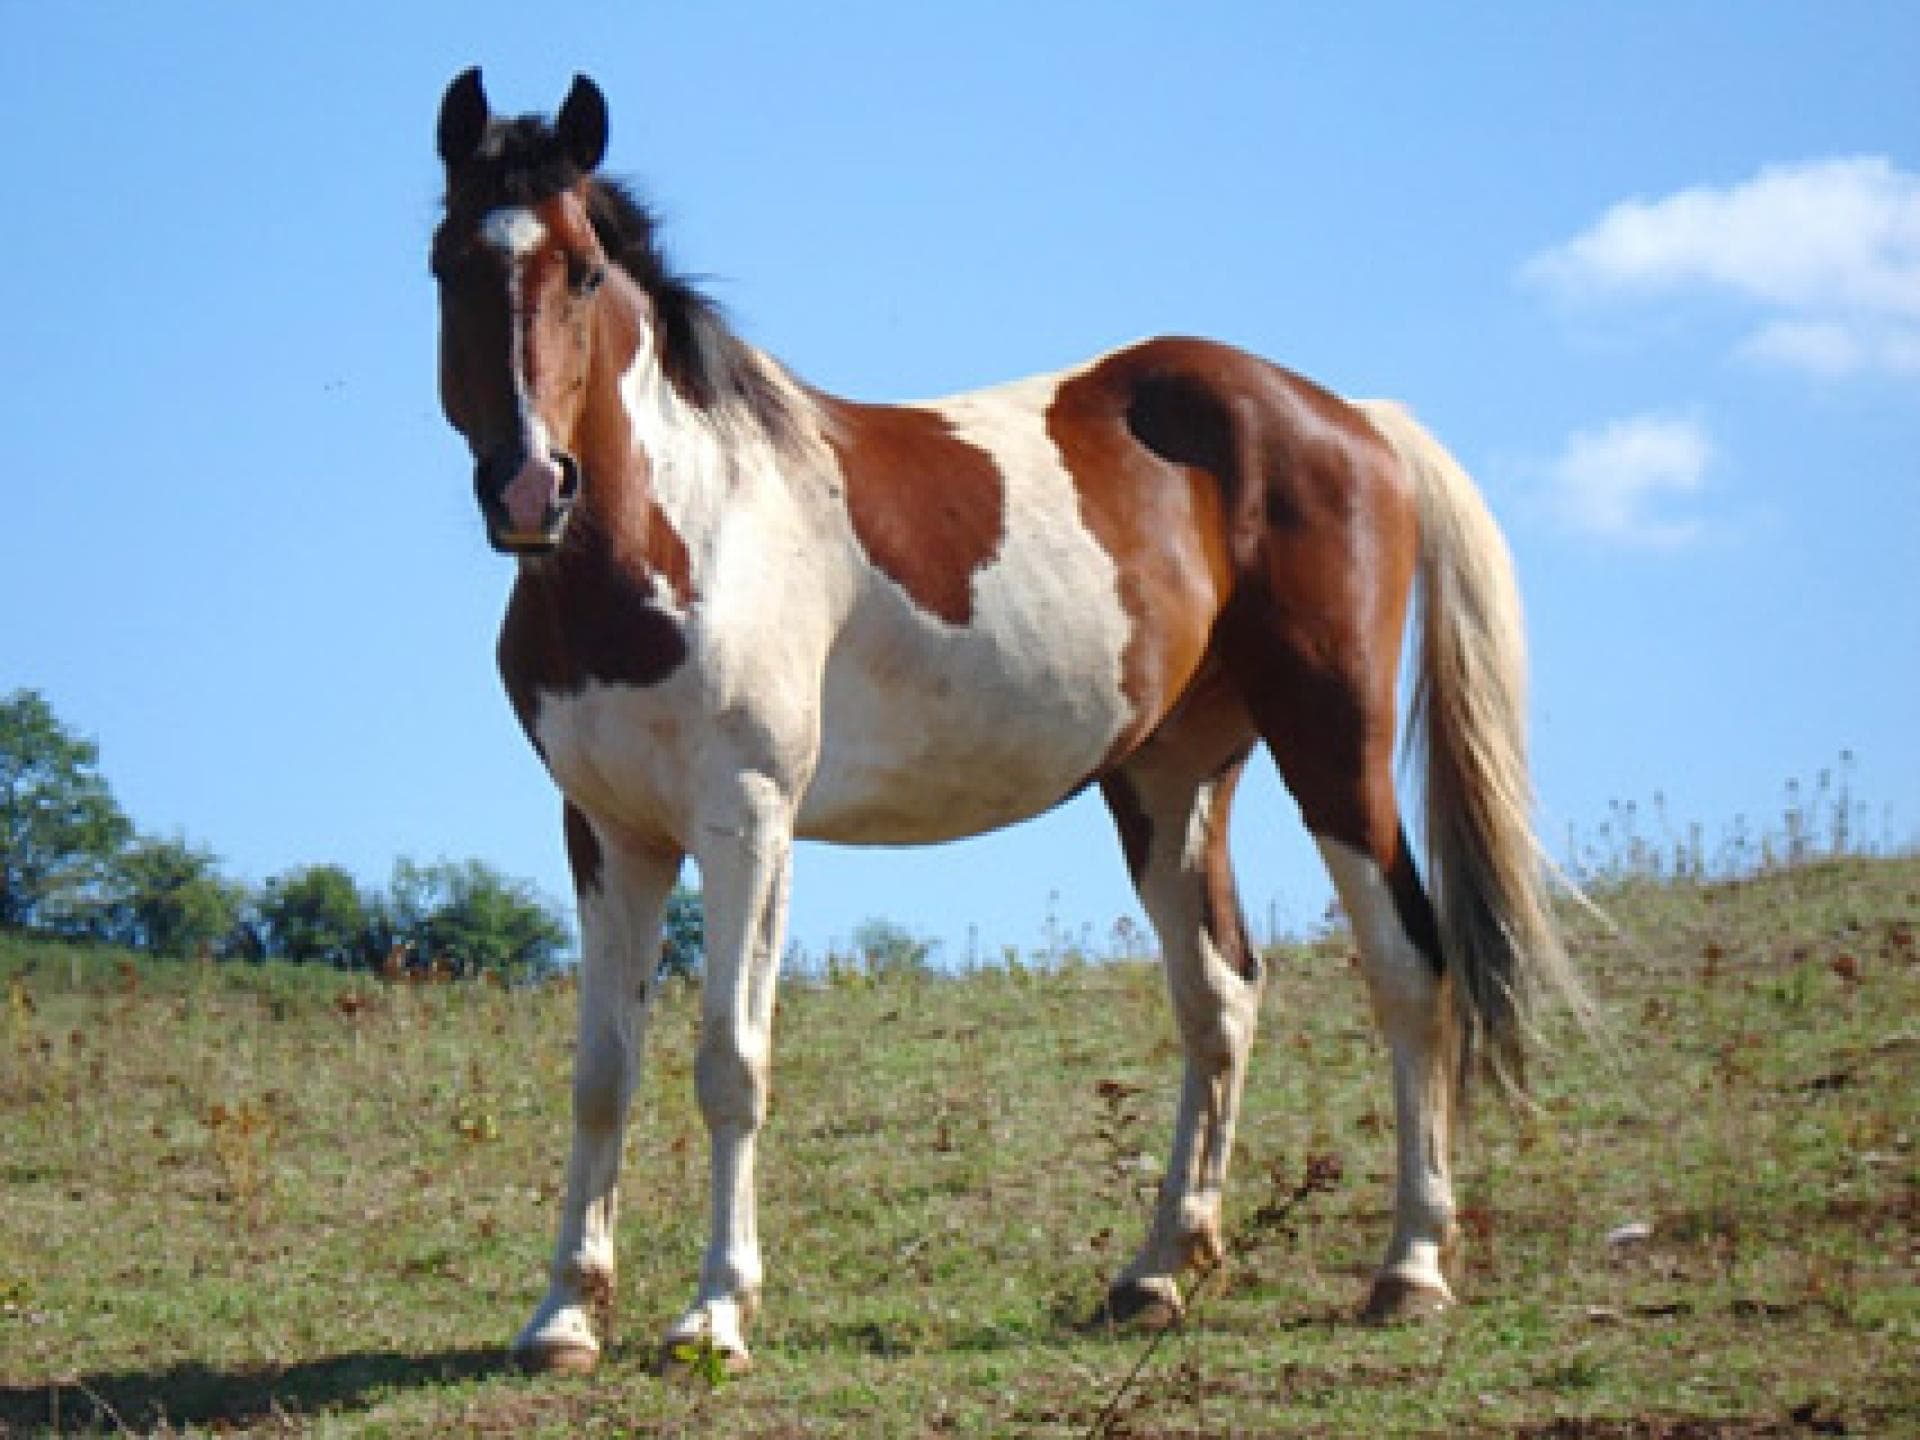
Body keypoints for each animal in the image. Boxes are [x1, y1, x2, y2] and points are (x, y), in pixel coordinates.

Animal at [429, 68, 1577, 1375]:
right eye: (447, 263)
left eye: (581, 270)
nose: (530, 487)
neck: (683, 528)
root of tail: (1351, 418)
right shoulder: (608, 833)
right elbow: (601, 1073)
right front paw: (565, 1315)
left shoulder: (747, 822)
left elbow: (731, 1061)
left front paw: (716, 1312)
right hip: (1171, 780)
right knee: (1220, 995)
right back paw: (1159, 1269)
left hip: (1332, 746)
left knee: (1406, 965)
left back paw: (1412, 1266)